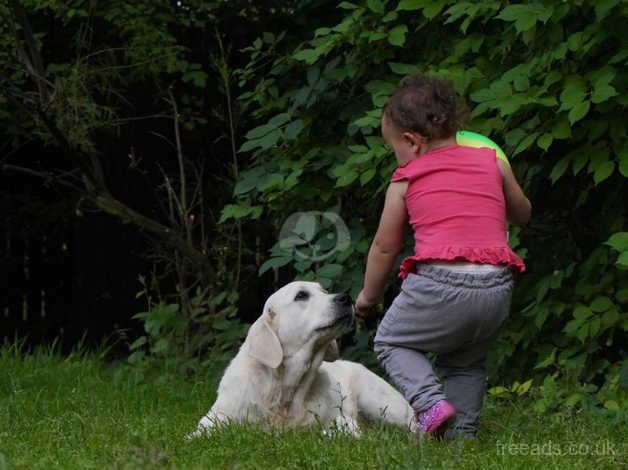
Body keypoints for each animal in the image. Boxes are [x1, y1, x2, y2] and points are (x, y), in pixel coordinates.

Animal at [191, 280, 418, 438]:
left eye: (324, 291)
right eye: (301, 295)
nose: (346, 298)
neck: (284, 391)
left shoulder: (338, 418)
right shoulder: (216, 417)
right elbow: (197, 435)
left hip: (378, 402)